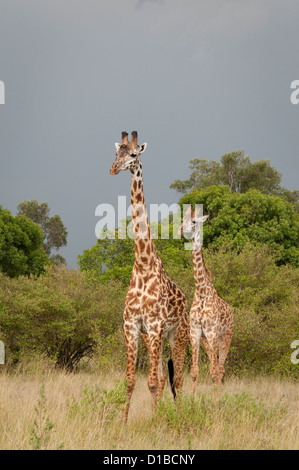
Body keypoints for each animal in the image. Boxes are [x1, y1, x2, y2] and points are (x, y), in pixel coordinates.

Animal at [110, 131, 190, 418]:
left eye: (134, 154)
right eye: (116, 153)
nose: (113, 168)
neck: (143, 264)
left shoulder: (155, 327)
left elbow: (153, 382)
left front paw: (156, 422)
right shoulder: (133, 327)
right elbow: (131, 381)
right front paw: (122, 422)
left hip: (178, 336)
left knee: (177, 378)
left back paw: (178, 415)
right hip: (156, 338)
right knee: (165, 377)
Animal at [179, 206, 236, 392]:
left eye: (194, 221)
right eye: (182, 219)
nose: (180, 230)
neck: (202, 291)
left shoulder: (211, 332)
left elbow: (213, 373)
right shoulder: (195, 332)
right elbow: (194, 371)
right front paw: (192, 399)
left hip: (225, 337)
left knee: (220, 369)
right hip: (208, 340)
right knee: (216, 367)